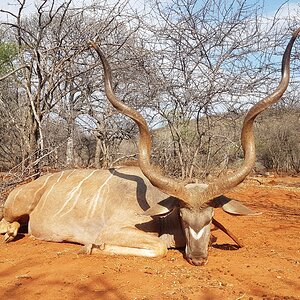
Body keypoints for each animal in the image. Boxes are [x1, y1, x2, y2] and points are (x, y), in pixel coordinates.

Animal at [1, 29, 298, 266]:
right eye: (183, 216)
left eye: (211, 216)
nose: (198, 258)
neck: (160, 212)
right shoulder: (115, 229)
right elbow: (157, 248)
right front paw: (93, 247)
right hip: (17, 206)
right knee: (7, 221)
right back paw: (10, 233)